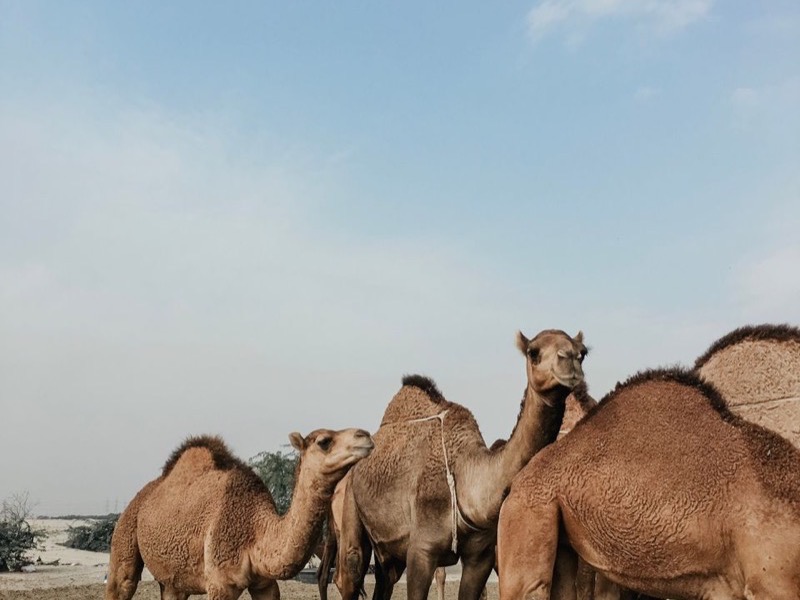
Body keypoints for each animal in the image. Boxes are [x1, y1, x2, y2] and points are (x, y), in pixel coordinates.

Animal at [106, 428, 374, 600]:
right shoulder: (220, 584)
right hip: (125, 533)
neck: (255, 530)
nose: (365, 435)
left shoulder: (265, 584)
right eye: (324, 441)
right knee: (121, 583)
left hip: (174, 581)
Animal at [334, 329, 587, 600]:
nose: (570, 362)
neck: (466, 478)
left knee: (385, 579)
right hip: (350, 505)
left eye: (582, 352)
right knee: (352, 565)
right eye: (533, 352)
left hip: (389, 553)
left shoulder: (480, 556)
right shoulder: (421, 550)